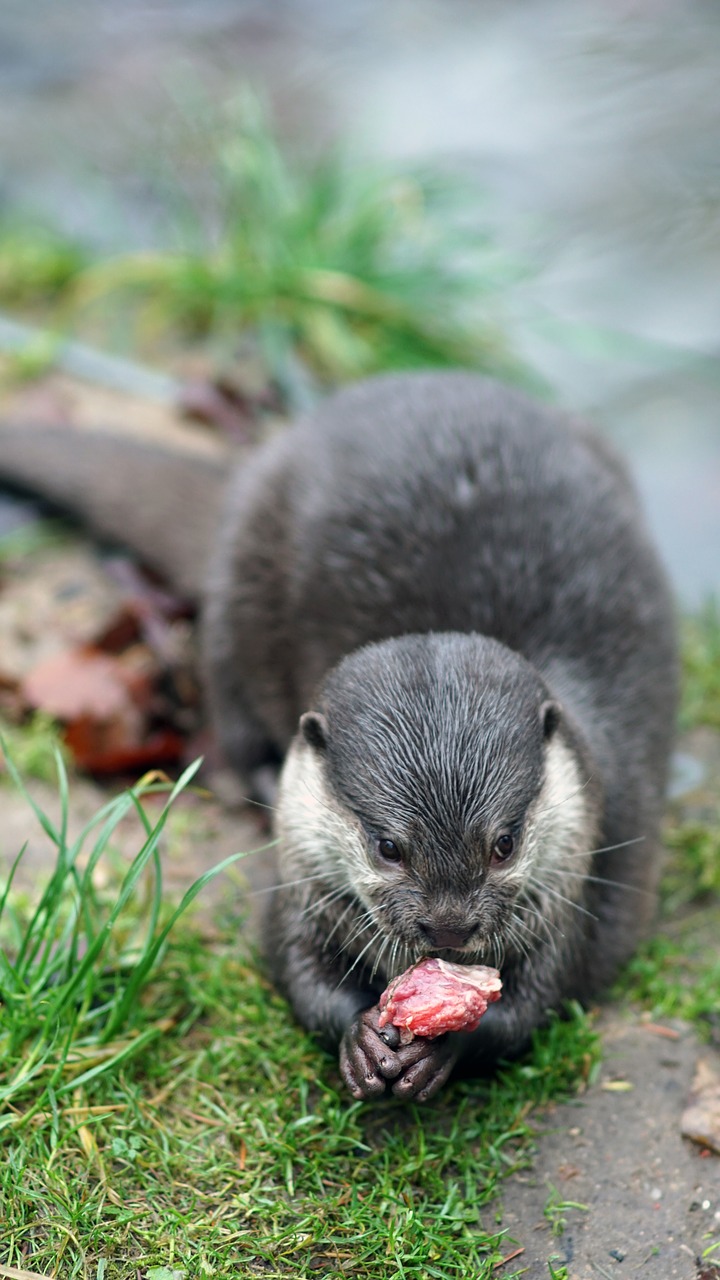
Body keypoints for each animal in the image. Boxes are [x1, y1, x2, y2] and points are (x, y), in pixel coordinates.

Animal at [0, 371, 676, 1100]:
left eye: (504, 844)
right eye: (388, 847)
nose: (449, 926)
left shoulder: (580, 890)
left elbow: (537, 1002)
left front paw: (448, 1046)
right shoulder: (296, 878)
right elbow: (293, 964)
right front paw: (358, 1038)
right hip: (241, 577)